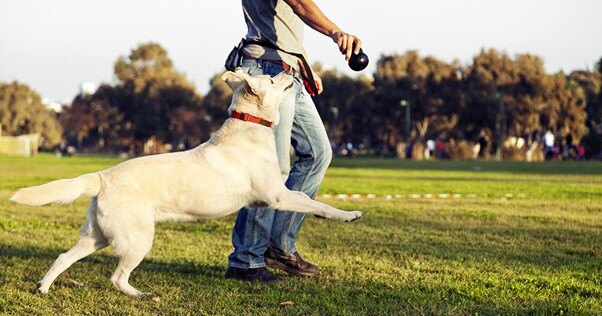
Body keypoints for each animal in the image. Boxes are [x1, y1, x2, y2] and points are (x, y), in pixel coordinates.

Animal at [10, 71, 360, 296]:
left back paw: (43, 288)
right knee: (117, 277)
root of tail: (102, 176)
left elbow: (309, 201)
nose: (291, 70)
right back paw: (140, 295)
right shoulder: (277, 196)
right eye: (272, 79)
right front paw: (348, 215)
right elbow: (314, 202)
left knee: (63, 257)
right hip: (137, 239)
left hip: (98, 236)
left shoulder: (274, 197)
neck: (248, 127)